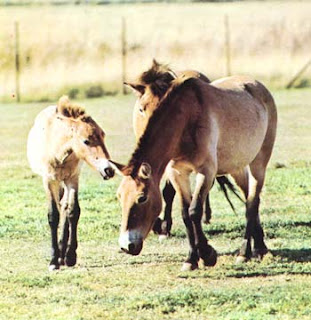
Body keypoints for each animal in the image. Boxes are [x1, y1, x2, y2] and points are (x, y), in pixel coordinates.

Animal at [27, 95, 115, 270]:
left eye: (103, 135)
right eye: (86, 141)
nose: (109, 170)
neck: (56, 149)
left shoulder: (72, 179)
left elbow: (73, 212)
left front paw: (70, 256)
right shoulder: (49, 181)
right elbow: (53, 215)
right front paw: (54, 260)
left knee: (65, 207)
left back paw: (63, 252)